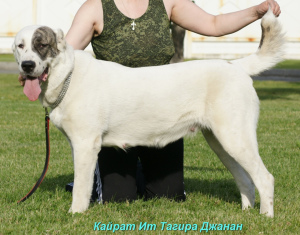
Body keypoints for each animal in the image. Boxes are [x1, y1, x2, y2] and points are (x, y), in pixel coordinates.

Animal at [11, 10, 284, 218]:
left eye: (42, 45)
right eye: (20, 47)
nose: (27, 66)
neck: (68, 74)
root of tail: (234, 65)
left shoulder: (86, 146)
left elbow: (80, 187)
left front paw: (75, 215)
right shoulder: (78, 145)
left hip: (235, 139)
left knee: (265, 178)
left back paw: (265, 217)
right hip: (222, 142)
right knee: (246, 179)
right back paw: (246, 214)